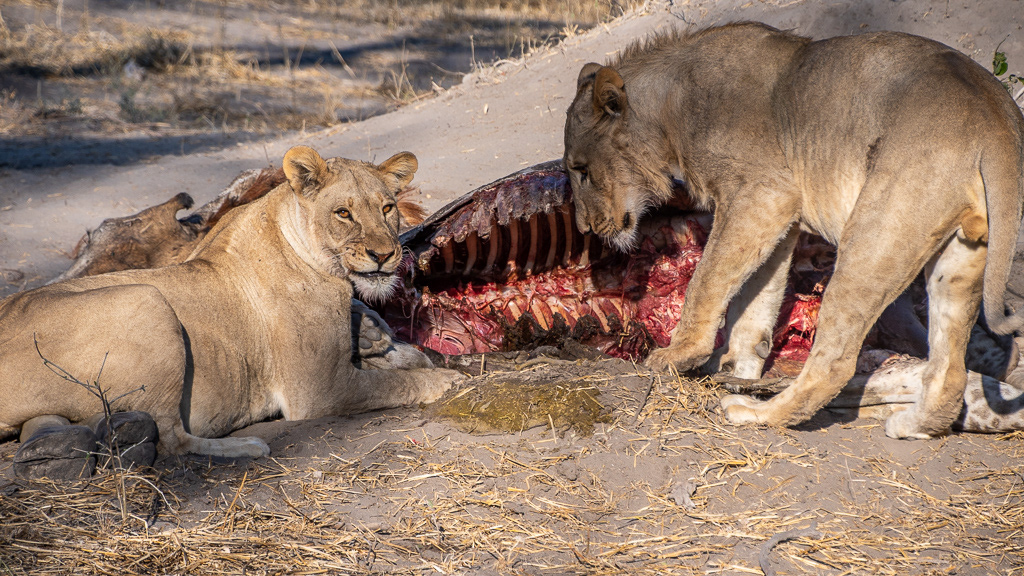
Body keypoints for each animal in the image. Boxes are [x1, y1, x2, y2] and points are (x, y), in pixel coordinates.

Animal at [0, 145, 462, 455]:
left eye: (387, 208)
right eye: (343, 213)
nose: (384, 255)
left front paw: (381, 339)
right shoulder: (320, 391)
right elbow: (392, 383)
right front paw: (443, 380)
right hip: (146, 299)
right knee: (172, 439)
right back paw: (248, 447)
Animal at [565, 21, 1024, 434]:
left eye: (581, 170)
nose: (585, 228)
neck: (669, 112)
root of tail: (994, 115)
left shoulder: (761, 194)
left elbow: (707, 282)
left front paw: (680, 354)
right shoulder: (777, 215)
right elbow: (754, 303)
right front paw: (736, 367)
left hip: (875, 234)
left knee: (835, 363)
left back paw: (755, 414)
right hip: (960, 254)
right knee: (949, 369)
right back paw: (913, 424)